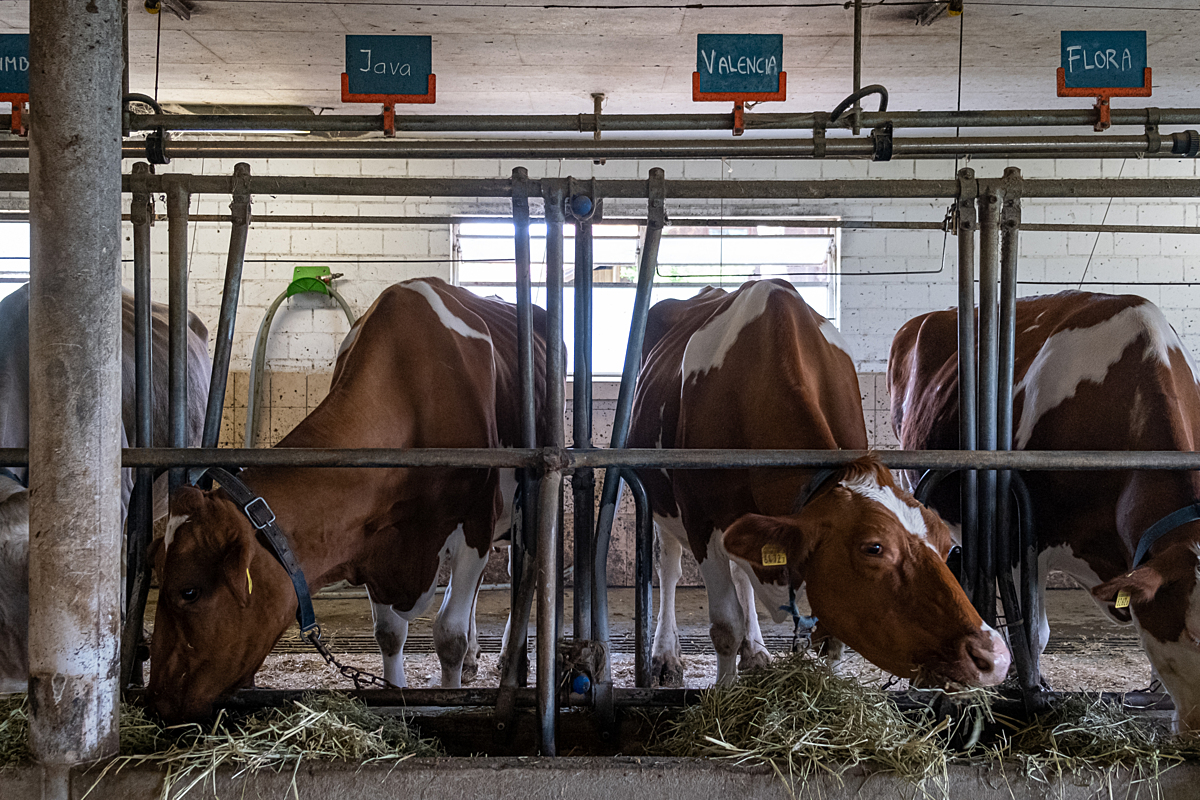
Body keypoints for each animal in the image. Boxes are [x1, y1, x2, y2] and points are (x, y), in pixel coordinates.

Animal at [148, 277, 554, 722]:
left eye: (189, 591)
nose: (156, 698)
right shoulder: (373, 536)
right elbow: (390, 633)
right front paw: (396, 697)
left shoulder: (475, 523)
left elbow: (449, 634)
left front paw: (450, 700)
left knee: (518, 570)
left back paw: (506, 659)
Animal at [627, 280, 1011, 688]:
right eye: (874, 548)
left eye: (946, 545)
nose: (994, 656)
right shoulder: (700, 519)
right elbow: (725, 626)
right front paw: (724, 691)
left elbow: (833, 641)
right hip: (665, 507)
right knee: (669, 569)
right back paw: (665, 657)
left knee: (741, 573)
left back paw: (756, 651)